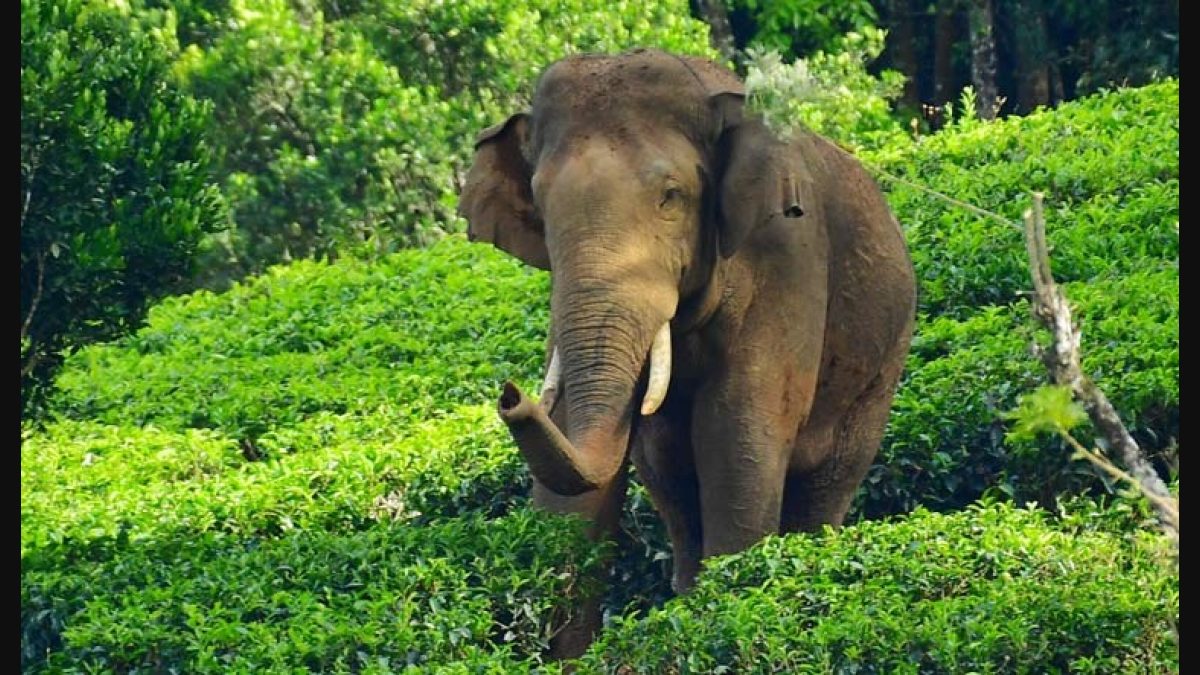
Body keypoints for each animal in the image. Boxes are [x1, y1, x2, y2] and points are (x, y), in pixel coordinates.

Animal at [453, 48, 912, 658]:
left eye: (670, 197)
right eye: (542, 207)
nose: (510, 394)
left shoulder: (789, 253)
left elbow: (738, 429)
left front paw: (733, 603)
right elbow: (574, 447)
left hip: (882, 369)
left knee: (825, 485)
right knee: (671, 481)